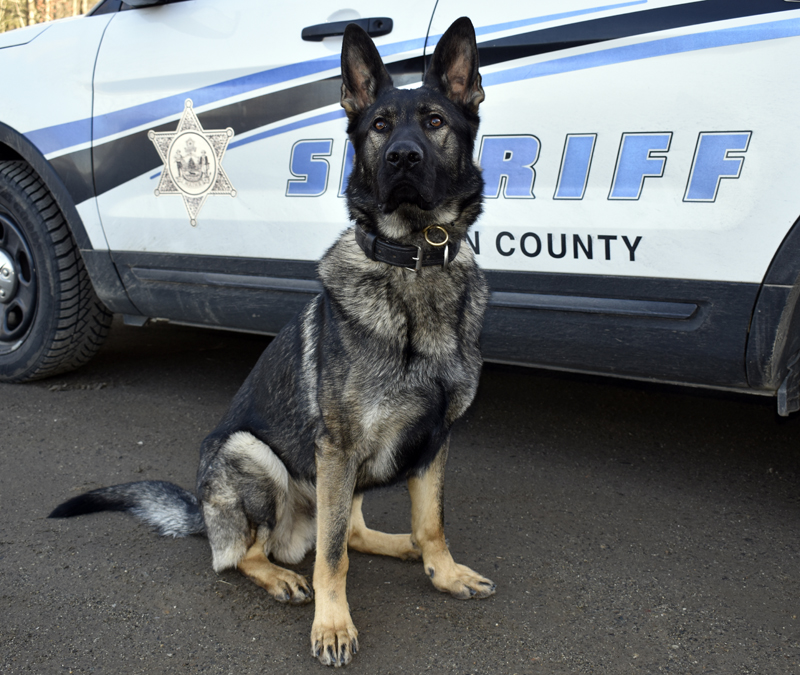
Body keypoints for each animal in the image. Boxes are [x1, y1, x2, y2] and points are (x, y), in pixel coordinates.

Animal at [50, 18, 494, 668]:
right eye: (380, 126)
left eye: (435, 120)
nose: (402, 157)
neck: (413, 262)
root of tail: (202, 511)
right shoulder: (336, 447)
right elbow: (332, 559)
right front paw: (332, 625)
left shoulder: (433, 439)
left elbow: (431, 520)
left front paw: (444, 571)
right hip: (254, 456)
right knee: (248, 555)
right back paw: (280, 574)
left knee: (351, 530)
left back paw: (400, 545)